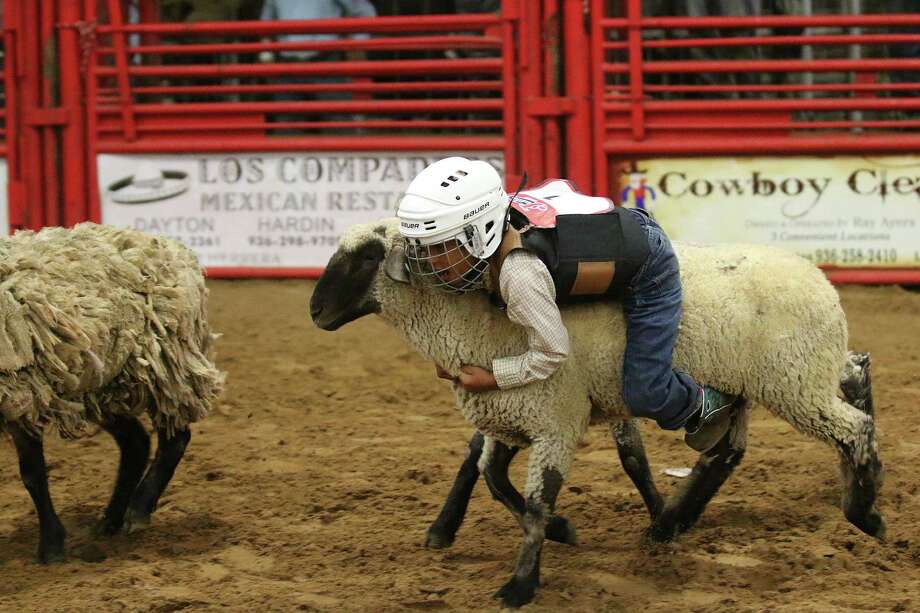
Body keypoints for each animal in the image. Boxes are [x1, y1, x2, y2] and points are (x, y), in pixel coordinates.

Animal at [1, 222, 225, 560]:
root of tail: (172, 247)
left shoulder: (23, 393)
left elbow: (32, 474)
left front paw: (51, 546)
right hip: (104, 384)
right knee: (136, 443)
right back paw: (111, 520)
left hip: (166, 365)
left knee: (174, 438)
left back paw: (138, 510)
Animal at [310, 219, 884, 608]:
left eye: (366, 256)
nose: (315, 311)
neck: (475, 321)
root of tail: (820, 279)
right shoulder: (514, 409)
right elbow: (492, 473)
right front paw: (561, 532)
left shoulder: (557, 413)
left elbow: (536, 497)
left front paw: (522, 583)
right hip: (785, 375)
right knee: (767, 427)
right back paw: (671, 523)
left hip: (793, 380)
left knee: (851, 428)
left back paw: (865, 511)